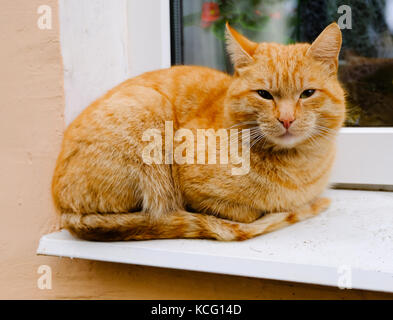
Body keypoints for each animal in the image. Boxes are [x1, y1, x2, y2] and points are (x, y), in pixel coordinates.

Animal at [51, 23, 344, 240]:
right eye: (264, 94)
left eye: (307, 93)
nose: (286, 119)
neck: (299, 167)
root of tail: (61, 207)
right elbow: (248, 213)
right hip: (150, 104)